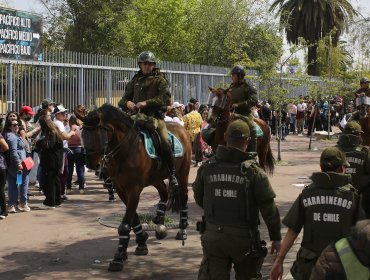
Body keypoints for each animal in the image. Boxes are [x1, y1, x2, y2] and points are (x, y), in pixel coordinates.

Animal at [77, 104, 191, 272]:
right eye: (83, 135)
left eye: (99, 135)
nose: (92, 165)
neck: (126, 150)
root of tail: (182, 128)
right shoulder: (121, 189)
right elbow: (133, 217)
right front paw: (141, 241)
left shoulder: (134, 189)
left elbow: (125, 224)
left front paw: (118, 257)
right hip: (155, 178)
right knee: (164, 193)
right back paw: (159, 222)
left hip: (183, 174)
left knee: (183, 197)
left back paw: (182, 230)